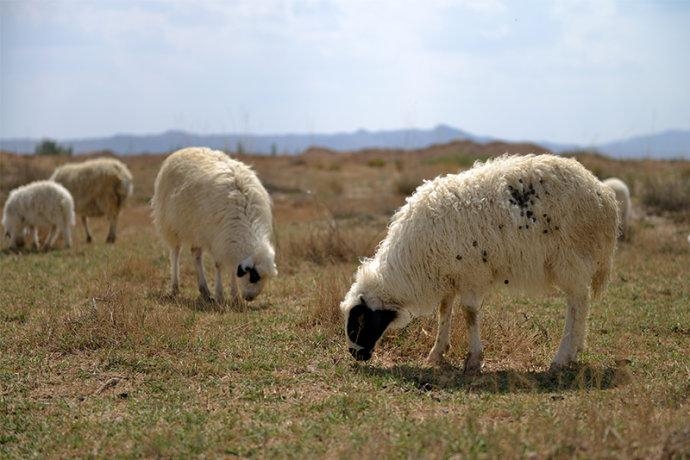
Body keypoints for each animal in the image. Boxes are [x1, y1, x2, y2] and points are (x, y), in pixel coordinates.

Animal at [151, 147, 276, 306]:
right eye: (254, 276)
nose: (250, 298)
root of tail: (181, 151)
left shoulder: (226, 240)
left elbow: (232, 268)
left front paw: (234, 296)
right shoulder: (217, 238)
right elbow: (218, 265)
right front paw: (220, 295)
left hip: (196, 229)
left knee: (196, 255)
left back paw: (204, 291)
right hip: (171, 225)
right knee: (175, 253)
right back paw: (175, 288)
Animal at [338, 153, 620, 372]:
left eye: (359, 321)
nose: (356, 355)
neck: (413, 263)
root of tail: (603, 194)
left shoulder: (471, 273)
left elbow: (469, 313)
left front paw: (473, 360)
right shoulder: (450, 272)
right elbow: (444, 310)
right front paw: (437, 352)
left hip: (571, 258)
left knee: (577, 304)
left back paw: (562, 357)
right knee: (580, 303)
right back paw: (575, 351)